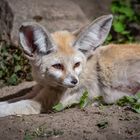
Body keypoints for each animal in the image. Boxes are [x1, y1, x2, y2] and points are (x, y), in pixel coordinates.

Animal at [0, 14, 140, 116]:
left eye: (76, 64)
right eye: (57, 66)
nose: (74, 82)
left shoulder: (46, 103)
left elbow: (17, 105)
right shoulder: (38, 91)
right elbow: (11, 100)